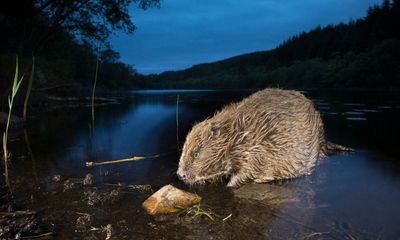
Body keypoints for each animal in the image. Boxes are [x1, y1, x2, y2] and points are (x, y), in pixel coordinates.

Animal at [178, 88, 350, 188]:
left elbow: (249, 172)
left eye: (196, 153)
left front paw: (229, 184)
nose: (180, 175)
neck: (240, 133)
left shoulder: (259, 151)